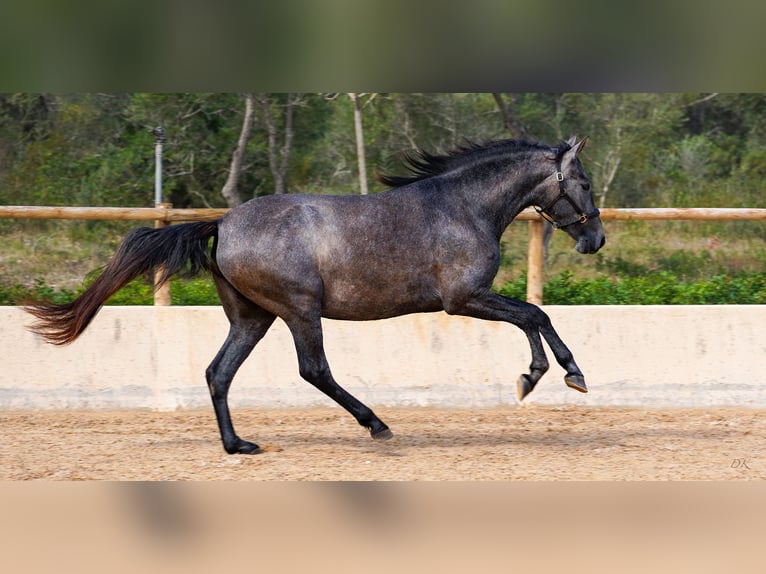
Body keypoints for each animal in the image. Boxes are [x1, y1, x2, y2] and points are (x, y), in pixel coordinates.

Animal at [25, 137, 608, 456]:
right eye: (583, 182)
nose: (596, 240)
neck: (463, 206)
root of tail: (224, 223)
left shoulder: (471, 299)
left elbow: (532, 315)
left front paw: (545, 377)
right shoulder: (464, 297)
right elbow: (534, 313)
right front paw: (554, 376)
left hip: (252, 318)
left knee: (219, 372)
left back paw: (239, 445)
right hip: (299, 309)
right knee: (314, 369)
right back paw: (376, 425)